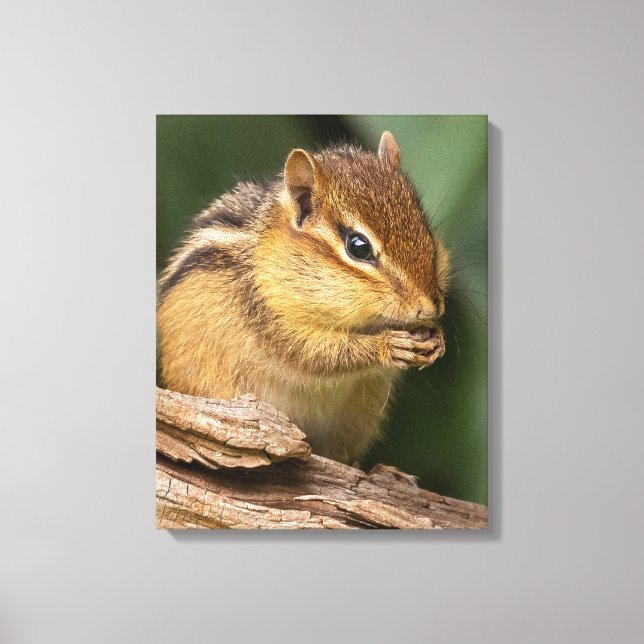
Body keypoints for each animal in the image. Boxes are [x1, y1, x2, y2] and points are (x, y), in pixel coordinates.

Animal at [157, 131, 450, 463]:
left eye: (426, 231)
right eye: (358, 246)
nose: (430, 306)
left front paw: (436, 339)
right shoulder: (266, 314)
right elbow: (313, 353)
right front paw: (387, 345)